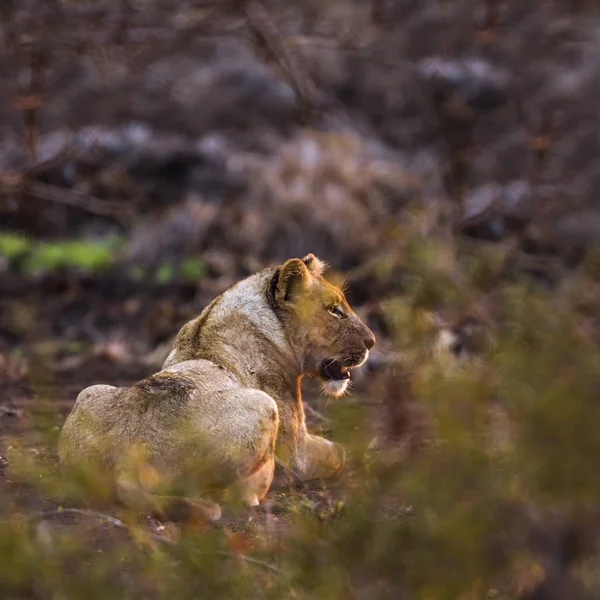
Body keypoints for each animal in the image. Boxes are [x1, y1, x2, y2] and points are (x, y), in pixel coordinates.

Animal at [57, 255, 376, 524]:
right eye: (335, 311)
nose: (372, 341)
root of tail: (126, 462)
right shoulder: (298, 452)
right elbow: (338, 454)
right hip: (263, 405)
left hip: (89, 392)